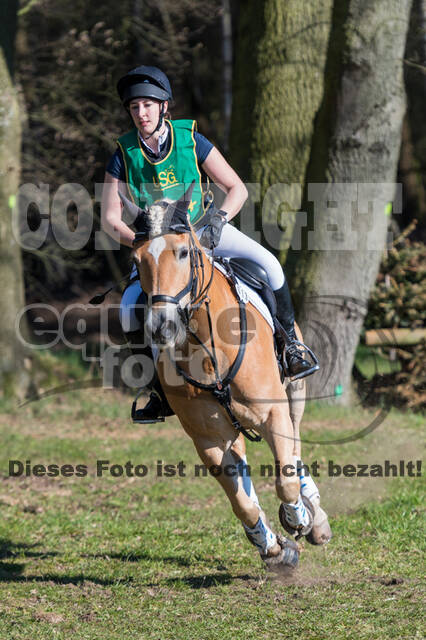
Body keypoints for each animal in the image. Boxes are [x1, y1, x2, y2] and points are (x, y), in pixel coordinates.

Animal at [121, 185, 332, 568]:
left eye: (184, 252)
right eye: (137, 260)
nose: (161, 327)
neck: (208, 348)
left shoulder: (273, 412)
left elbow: (285, 480)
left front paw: (299, 519)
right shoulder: (208, 438)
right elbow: (242, 503)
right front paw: (274, 547)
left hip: (295, 393)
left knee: (294, 445)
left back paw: (314, 514)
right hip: (231, 428)